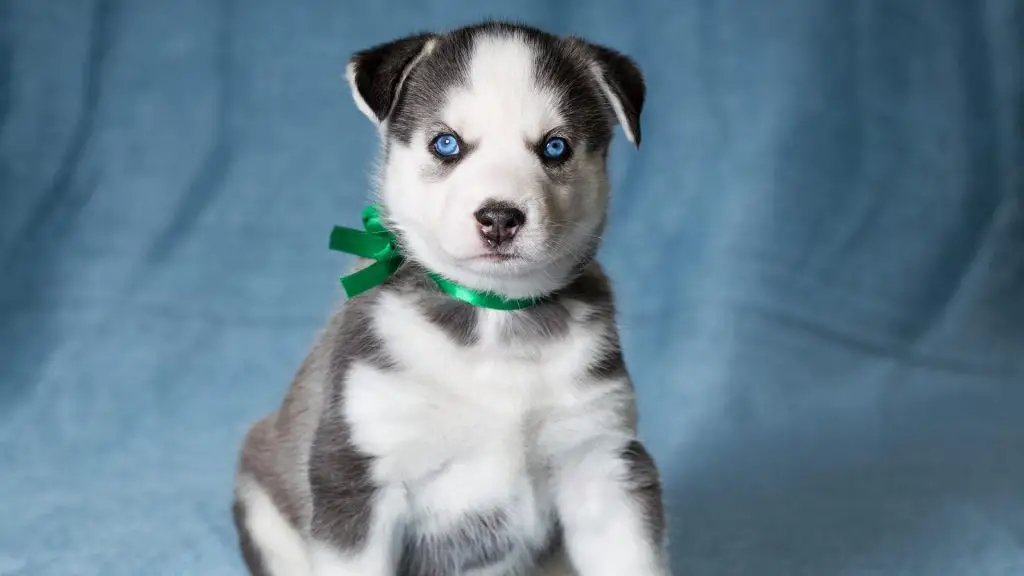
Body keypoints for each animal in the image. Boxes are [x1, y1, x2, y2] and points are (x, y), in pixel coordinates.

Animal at [232, 20, 667, 573]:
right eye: (446, 144)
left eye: (555, 147)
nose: (500, 217)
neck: (494, 315)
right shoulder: (357, 471)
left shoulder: (602, 461)